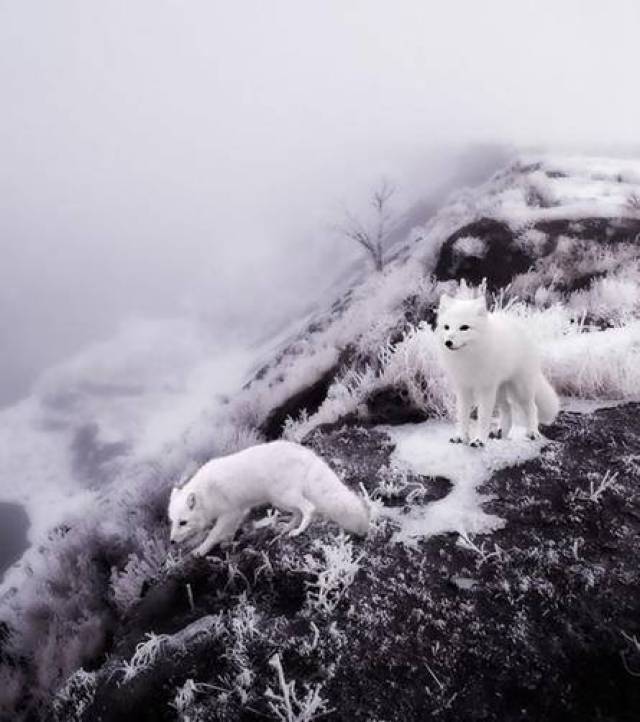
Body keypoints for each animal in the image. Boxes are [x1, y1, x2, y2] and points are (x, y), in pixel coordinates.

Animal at [168, 436, 370, 556]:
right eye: (173, 521)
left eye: (183, 522)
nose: (171, 541)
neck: (206, 494)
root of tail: (307, 454)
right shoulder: (239, 512)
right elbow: (228, 532)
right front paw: (227, 543)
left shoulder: (230, 512)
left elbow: (214, 533)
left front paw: (200, 550)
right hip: (279, 500)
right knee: (297, 512)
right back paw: (285, 528)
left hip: (283, 496)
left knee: (309, 508)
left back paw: (298, 531)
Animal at [436, 292, 560, 444]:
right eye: (446, 327)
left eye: (464, 327)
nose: (448, 342)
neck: (467, 359)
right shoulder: (463, 388)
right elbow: (463, 416)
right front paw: (460, 436)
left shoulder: (485, 389)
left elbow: (483, 418)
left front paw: (479, 440)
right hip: (499, 390)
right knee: (508, 408)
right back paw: (502, 433)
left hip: (520, 389)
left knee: (532, 408)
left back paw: (532, 432)